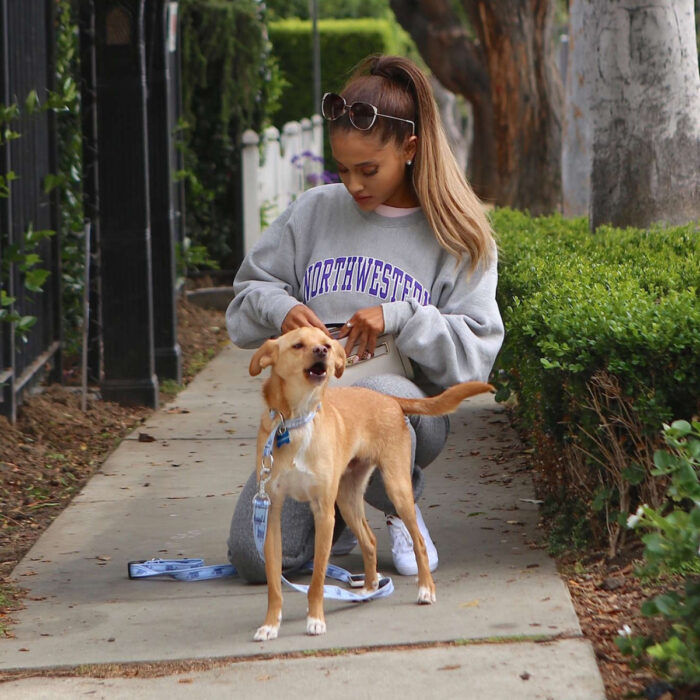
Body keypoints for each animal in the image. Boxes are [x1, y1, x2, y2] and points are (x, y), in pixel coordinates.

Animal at [249, 324, 494, 640]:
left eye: (326, 342)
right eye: (298, 345)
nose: (323, 351)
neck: (296, 421)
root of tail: (389, 400)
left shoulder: (324, 513)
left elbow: (316, 579)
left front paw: (315, 619)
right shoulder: (271, 511)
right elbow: (274, 583)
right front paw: (270, 624)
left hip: (396, 487)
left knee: (418, 542)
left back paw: (425, 589)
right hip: (347, 498)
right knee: (369, 540)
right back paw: (368, 589)